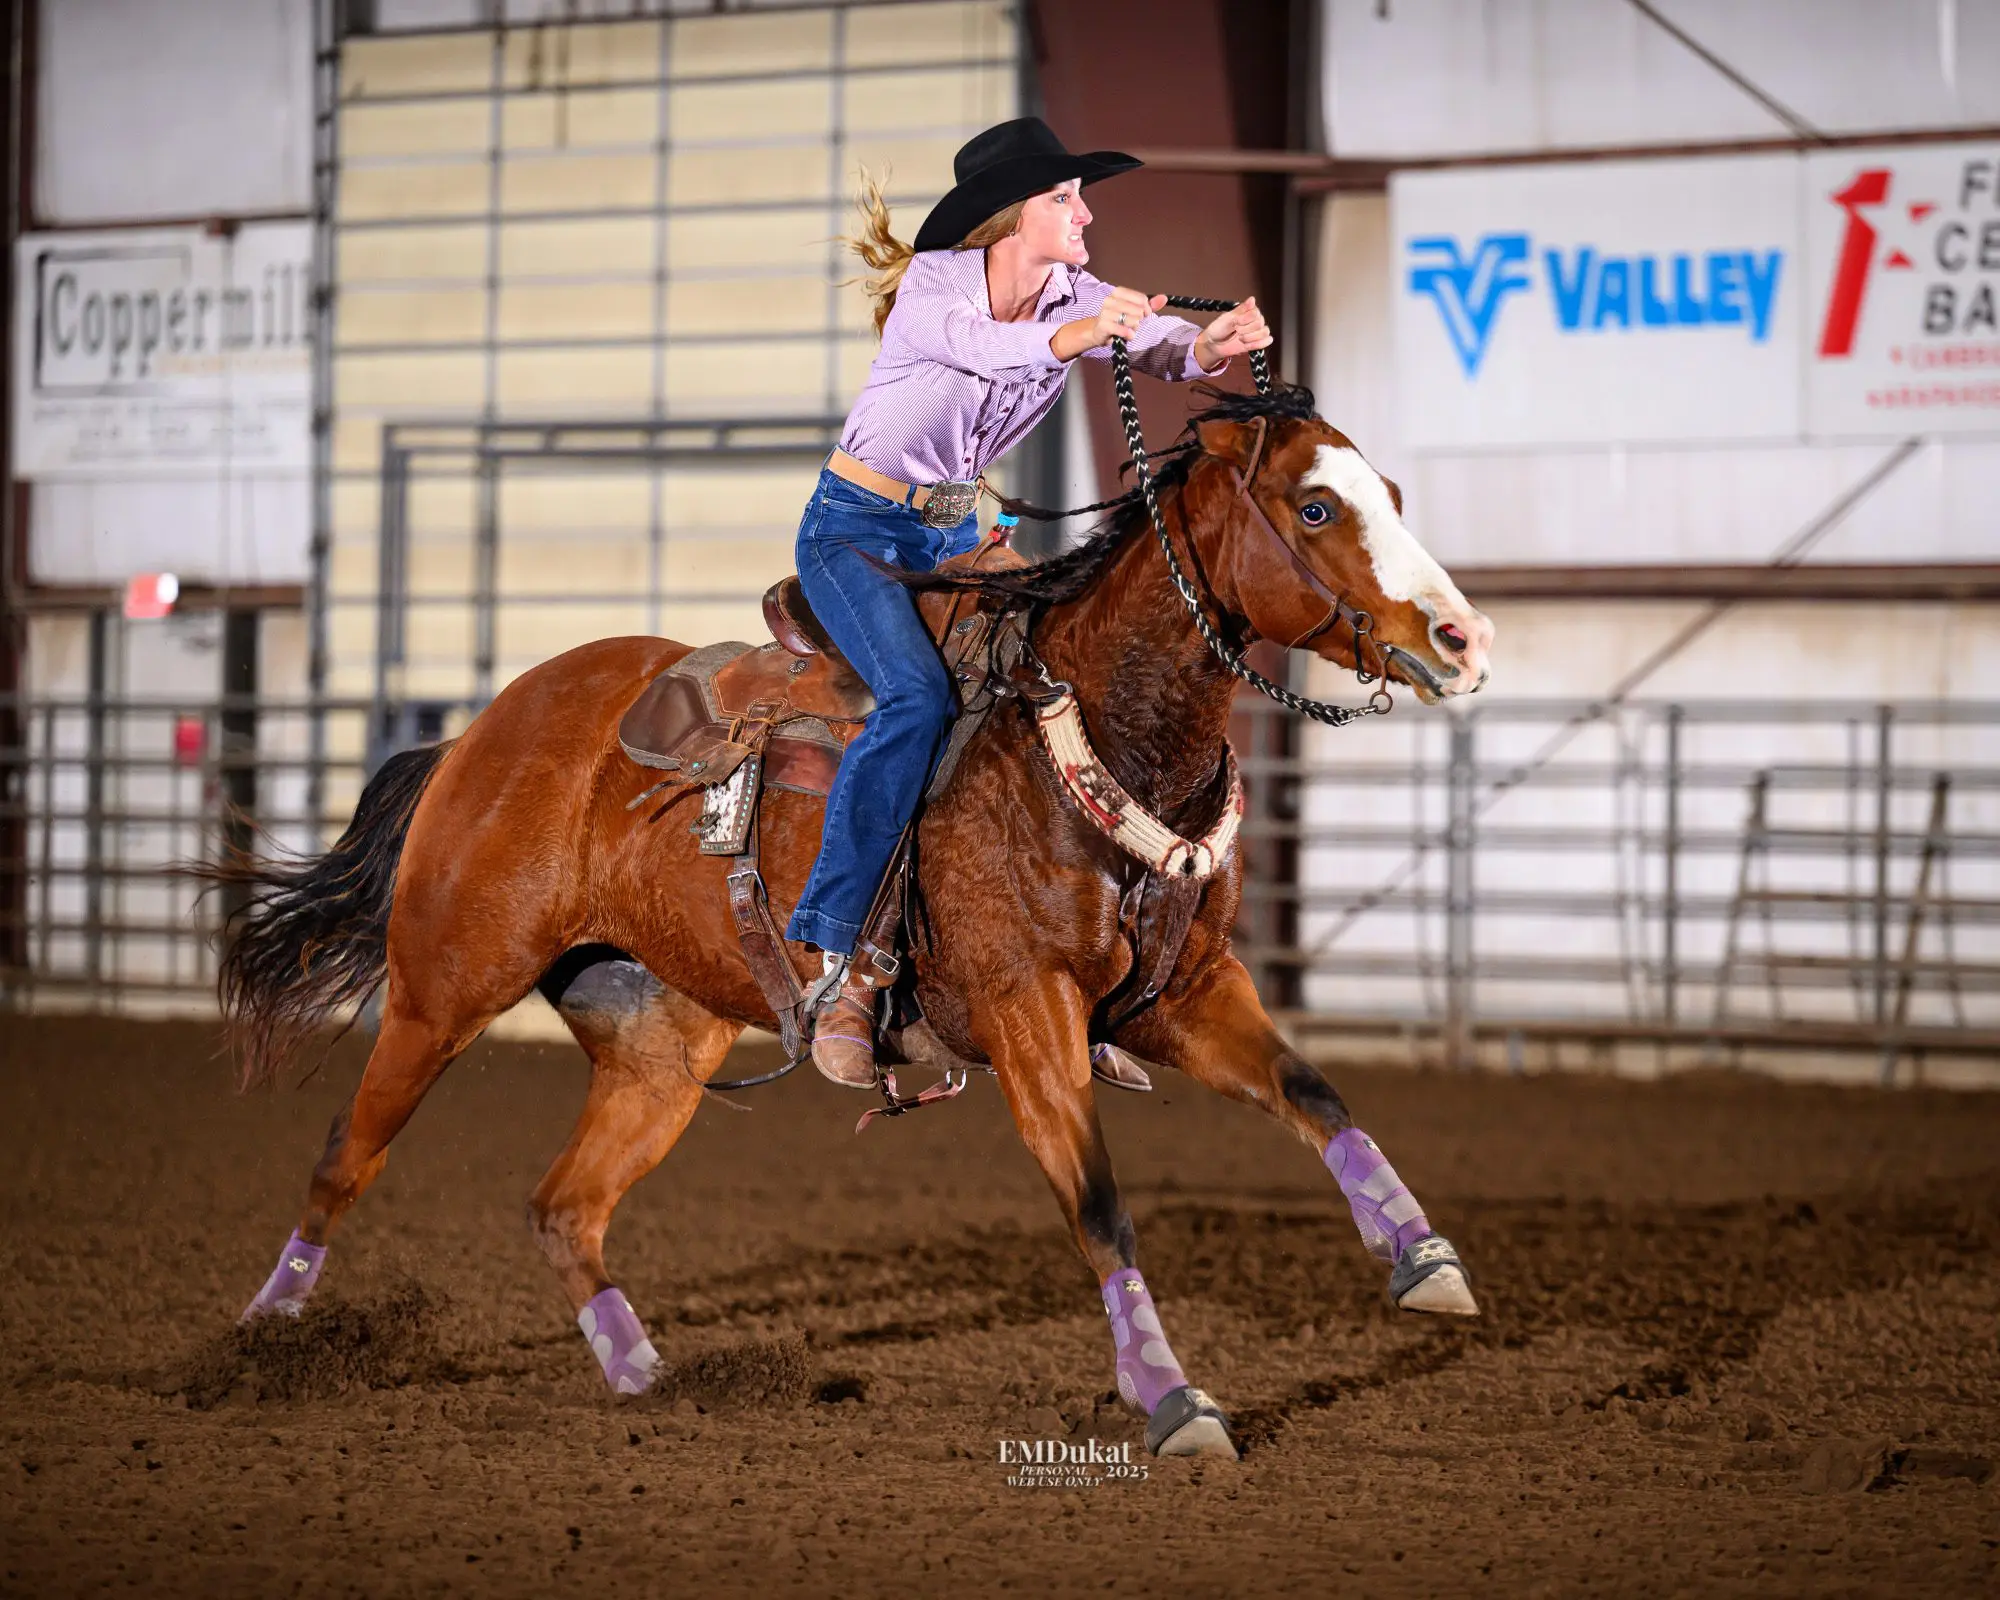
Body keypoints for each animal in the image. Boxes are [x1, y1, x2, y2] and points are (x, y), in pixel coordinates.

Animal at [213, 383, 1494, 1461]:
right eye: (1315, 504)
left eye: (1388, 493)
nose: (1462, 639)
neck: (1089, 730)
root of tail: (480, 730)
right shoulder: (1028, 1009)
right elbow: (1096, 1201)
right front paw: (1174, 1400)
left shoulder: (1181, 992)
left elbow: (1314, 1093)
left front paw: (1425, 1260)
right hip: (441, 989)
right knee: (345, 1160)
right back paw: (257, 1342)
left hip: (658, 1046)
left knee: (563, 1208)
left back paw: (648, 1379)